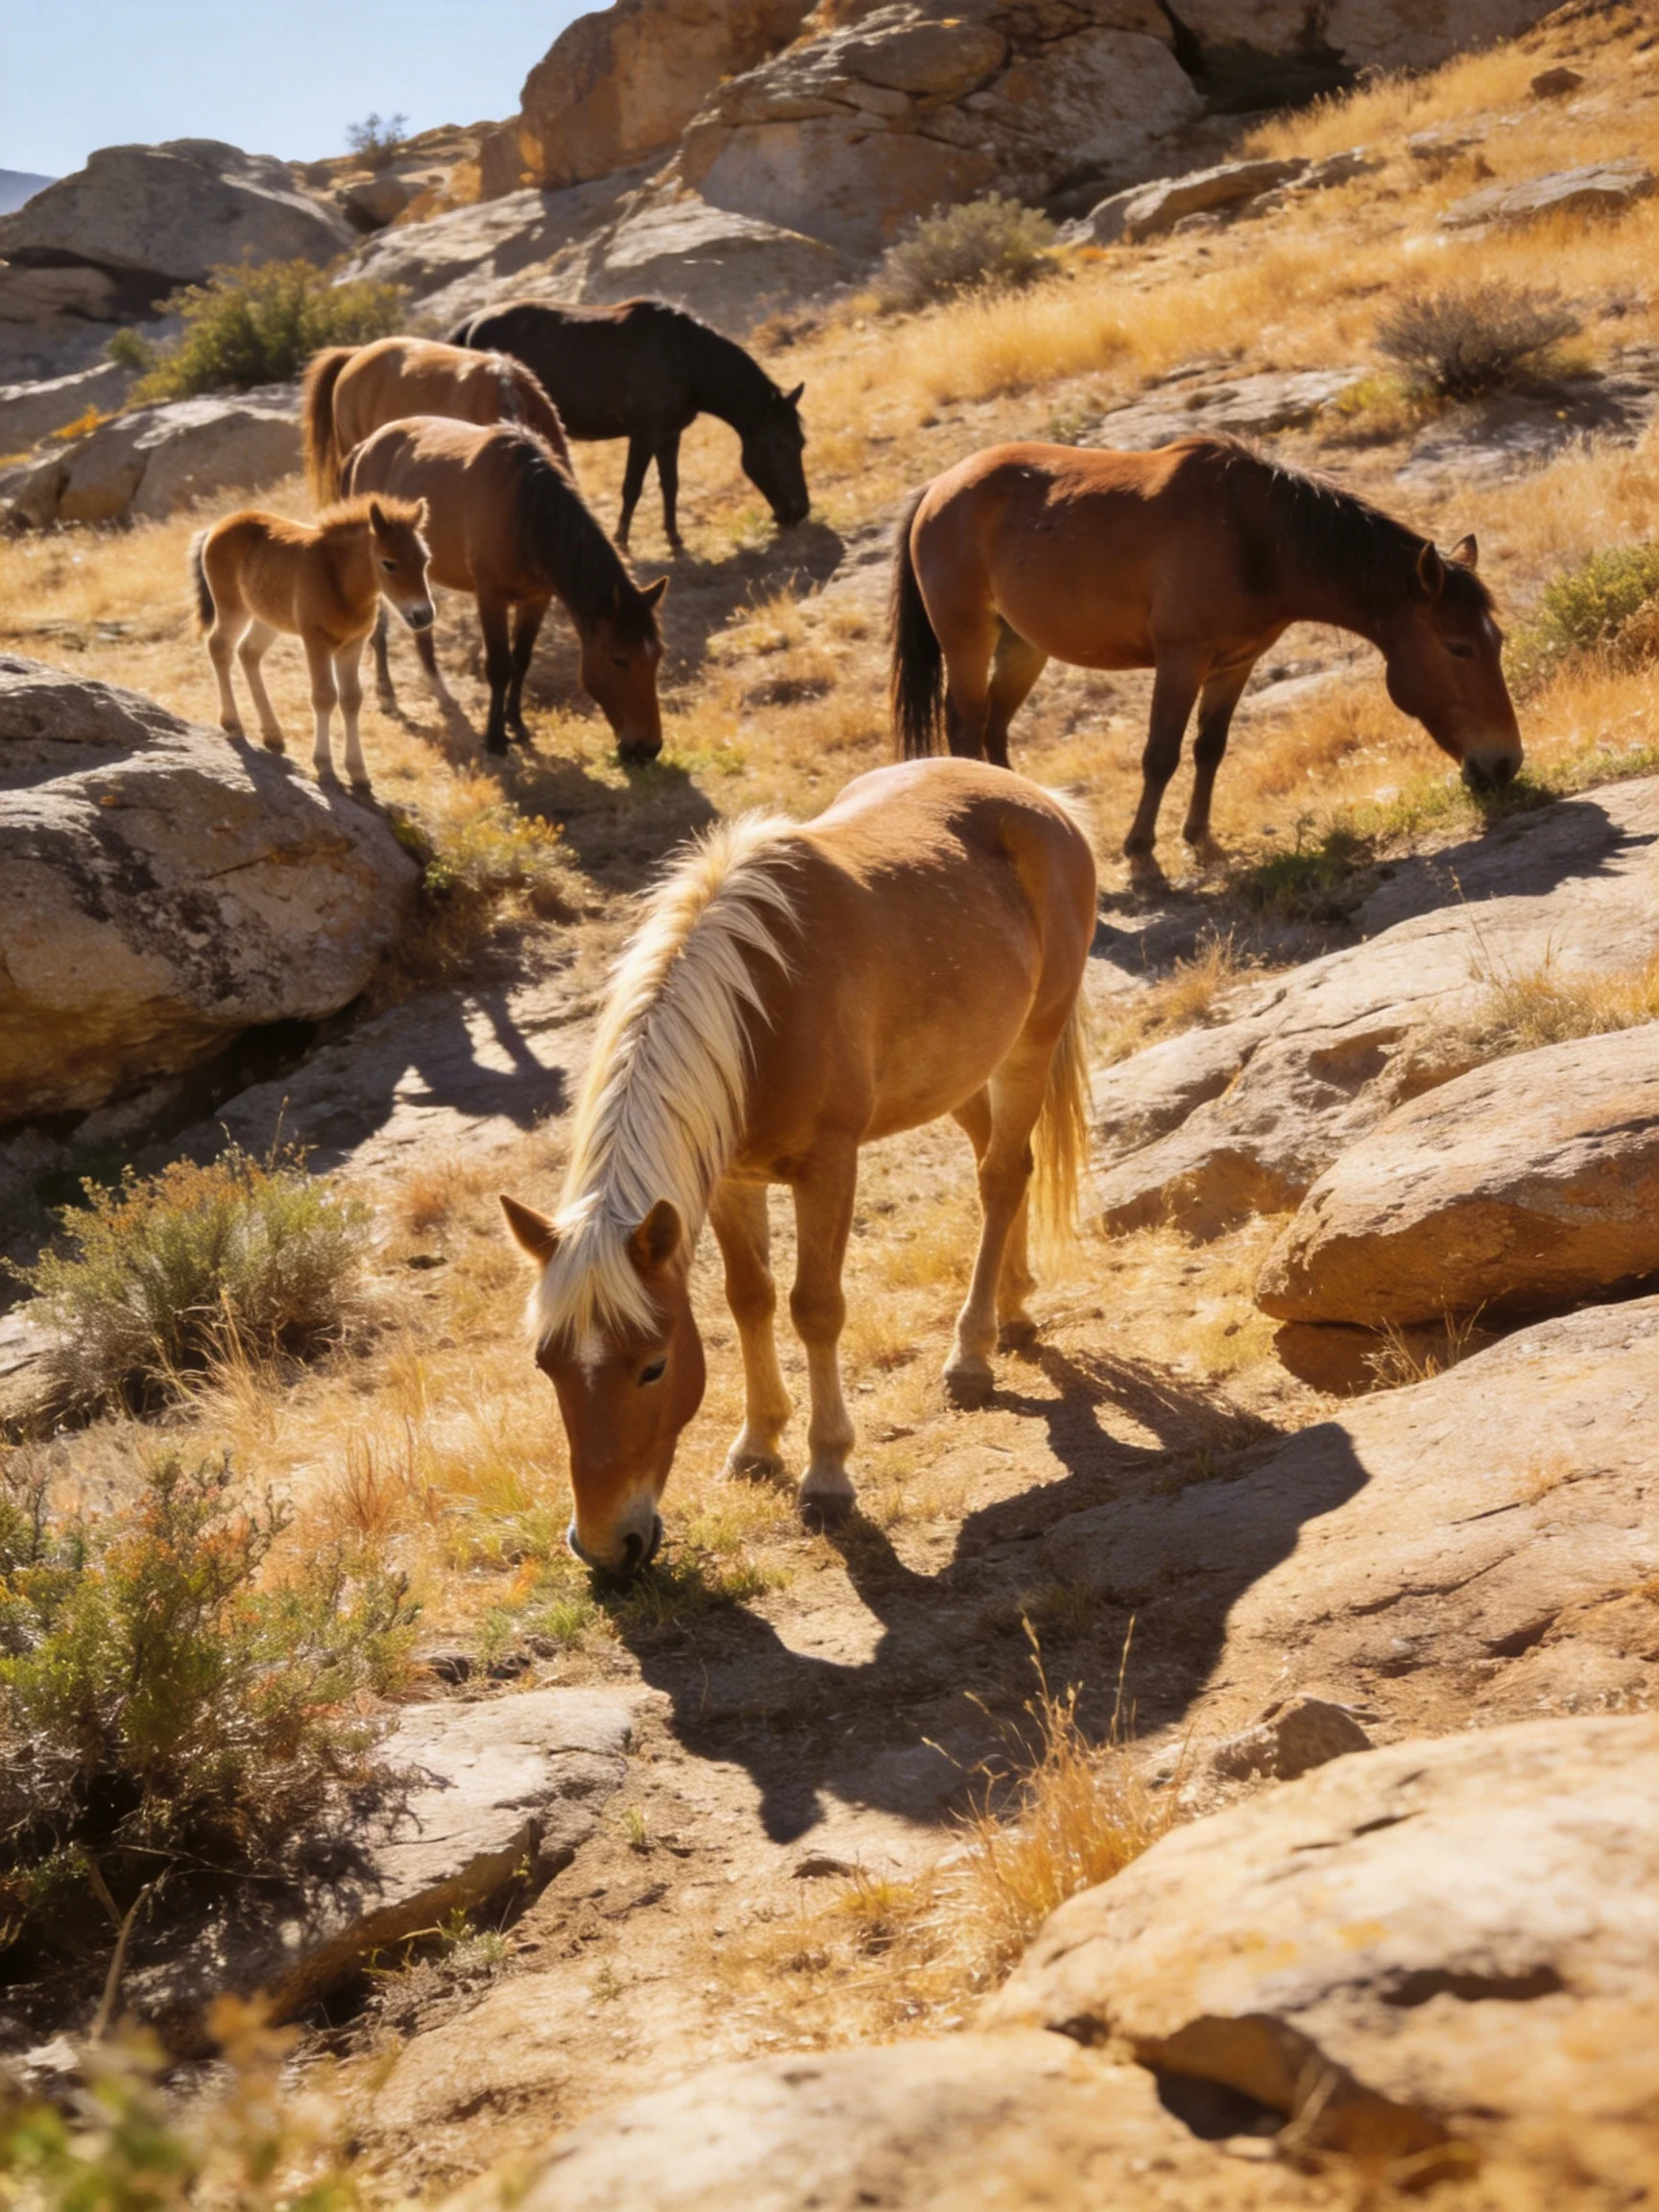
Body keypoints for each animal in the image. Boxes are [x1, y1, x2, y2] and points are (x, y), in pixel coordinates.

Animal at [189, 495, 432, 790]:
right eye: (389, 563)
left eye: (424, 560)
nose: (423, 615)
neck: (339, 580)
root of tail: (216, 526)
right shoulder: (315, 639)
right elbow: (324, 696)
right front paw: (325, 766)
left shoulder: (354, 643)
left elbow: (351, 699)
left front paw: (359, 774)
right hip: (233, 608)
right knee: (220, 647)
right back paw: (233, 723)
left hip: (266, 617)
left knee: (249, 652)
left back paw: (272, 734)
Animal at [341, 418, 666, 759]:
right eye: (619, 659)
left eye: (657, 655)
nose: (649, 748)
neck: (525, 512)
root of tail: (363, 448)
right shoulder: (490, 596)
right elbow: (499, 666)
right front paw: (495, 736)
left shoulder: (537, 598)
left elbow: (521, 660)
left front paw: (516, 722)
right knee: (381, 630)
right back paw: (386, 691)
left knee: (422, 631)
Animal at [449, 298, 808, 554]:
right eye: (780, 444)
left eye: (801, 442)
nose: (800, 512)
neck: (687, 356)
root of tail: (468, 327)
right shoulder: (644, 433)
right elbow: (632, 487)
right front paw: (621, 541)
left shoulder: (669, 435)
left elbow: (670, 485)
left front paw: (674, 538)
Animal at [499, 755, 1096, 1578]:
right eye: (545, 1364)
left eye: (653, 1366)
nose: (605, 1547)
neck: (757, 1007)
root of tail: (1043, 801)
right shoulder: (726, 1179)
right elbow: (748, 1298)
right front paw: (758, 1444)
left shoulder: (828, 1166)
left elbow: (815, 1307)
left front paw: (827, 1471)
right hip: (963, 1074)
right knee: (1005, 1165)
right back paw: (1014, 1306)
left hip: (1030, 1043)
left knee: (1002, 1177)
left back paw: (971, 1353)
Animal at [890, 435, 1523, 883]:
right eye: (1458, 646)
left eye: (1496, 641)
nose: (1505, 763)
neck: (1255, 538)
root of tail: (938, 488)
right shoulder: (1181, 660)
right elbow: (1161, 755)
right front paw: (1143, 857)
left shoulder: (1234, 664)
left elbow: (1209, 749)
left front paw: (1203, 843)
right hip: (968, 642)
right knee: (967, 725)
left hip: (1024, 645)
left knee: (995, 727)